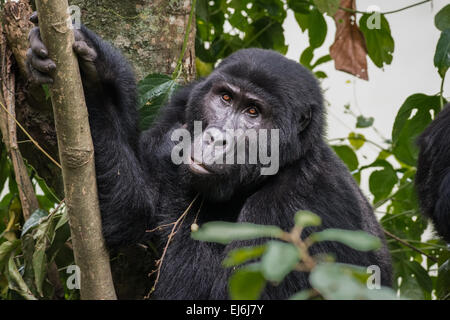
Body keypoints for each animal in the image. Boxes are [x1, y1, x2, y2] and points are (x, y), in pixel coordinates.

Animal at [26, 14, 392, 300]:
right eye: (225, 98)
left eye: (253, 112)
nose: (216, 137)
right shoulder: (186, 99)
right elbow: (131, 209)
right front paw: (95, 74)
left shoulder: (294, 208)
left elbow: (215, 293)